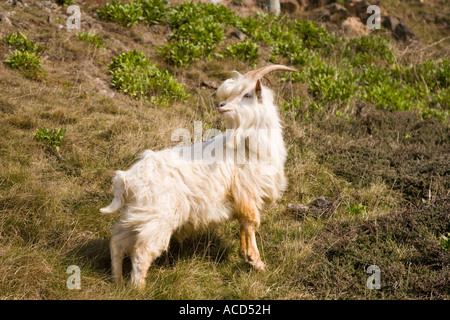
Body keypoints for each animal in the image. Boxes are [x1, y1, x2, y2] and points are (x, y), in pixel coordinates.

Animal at [102, 63, 298, 288]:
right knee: (141, 252)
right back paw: (138, 289)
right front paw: (257, 261)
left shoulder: (241, 197)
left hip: (138, 215)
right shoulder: (247, 192)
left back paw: (117, 282)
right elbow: (250, 223)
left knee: (117, 241)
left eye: (247, 94)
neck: (249, 147)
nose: (221, 105)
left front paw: (244, 254)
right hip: (157, 219)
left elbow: (242, 224)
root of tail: (125, 179)